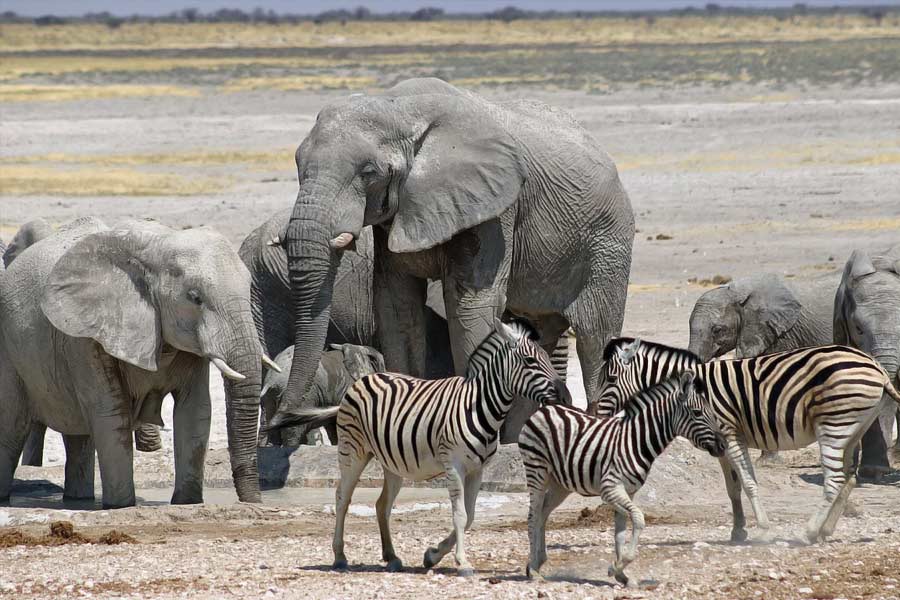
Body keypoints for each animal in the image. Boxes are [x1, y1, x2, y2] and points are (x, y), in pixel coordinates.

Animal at [0, 217, 263, 507]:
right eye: (195, 298)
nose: (252, 502)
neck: (159, 247)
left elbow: (195, 410)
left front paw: (187, 503)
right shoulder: (86, 337)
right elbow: (111, 412)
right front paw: (120, 506)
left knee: (78, 439)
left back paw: (78, 501)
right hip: (9, 351)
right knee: (11, 429)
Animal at [275, 78, 634, 435]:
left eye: (369, 172)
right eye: (297, 164)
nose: (286, 415)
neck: (400, 108)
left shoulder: (493, 208)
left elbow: (468, 307)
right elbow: (397, 307)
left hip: (608, 243)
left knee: (594, 338)